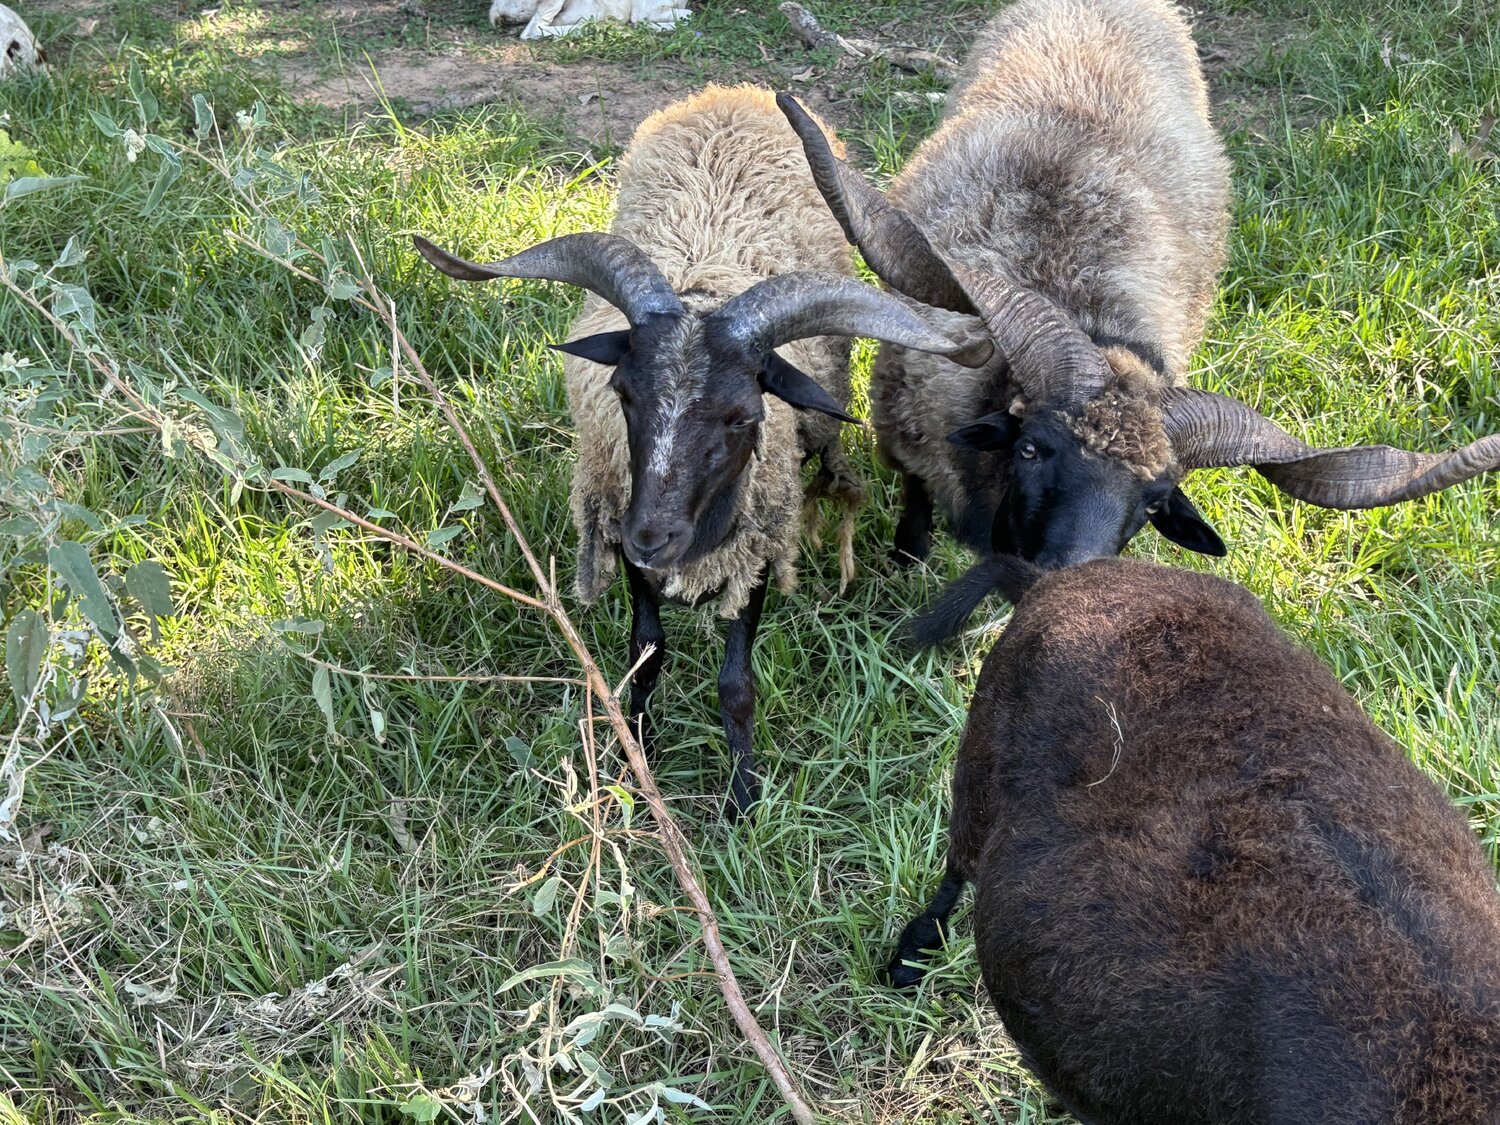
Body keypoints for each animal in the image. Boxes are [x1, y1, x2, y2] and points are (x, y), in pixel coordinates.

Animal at [415, 85, 984, 816]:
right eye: (623, 391)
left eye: (744, 414)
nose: (651, 536)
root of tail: (733, 93)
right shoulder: (623, 527)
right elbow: (647, 652)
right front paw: (637, 759)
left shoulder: (759, 542)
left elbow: (737, 680)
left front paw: (742, 797)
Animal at [779, 0, 1500, 573]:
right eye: (1033, 447)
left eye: (1154, 500)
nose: (1075, 576)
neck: (1070, 292)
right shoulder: (909, 441)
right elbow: (914, 508)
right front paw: (907, 561)